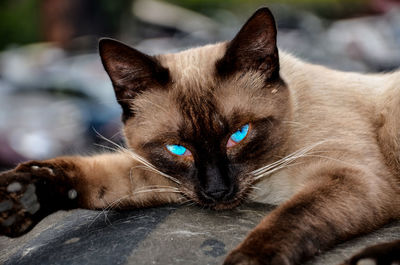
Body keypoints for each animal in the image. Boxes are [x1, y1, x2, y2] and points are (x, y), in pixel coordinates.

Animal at [0, 7, 400, 264]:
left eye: (239, 134)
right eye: (178, 149)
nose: (217, 191)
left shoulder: (351, 177)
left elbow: (288, 218)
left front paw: (244, 261)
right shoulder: (163, 178)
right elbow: (96, 176)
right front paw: (22, 198)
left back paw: (371, 260)